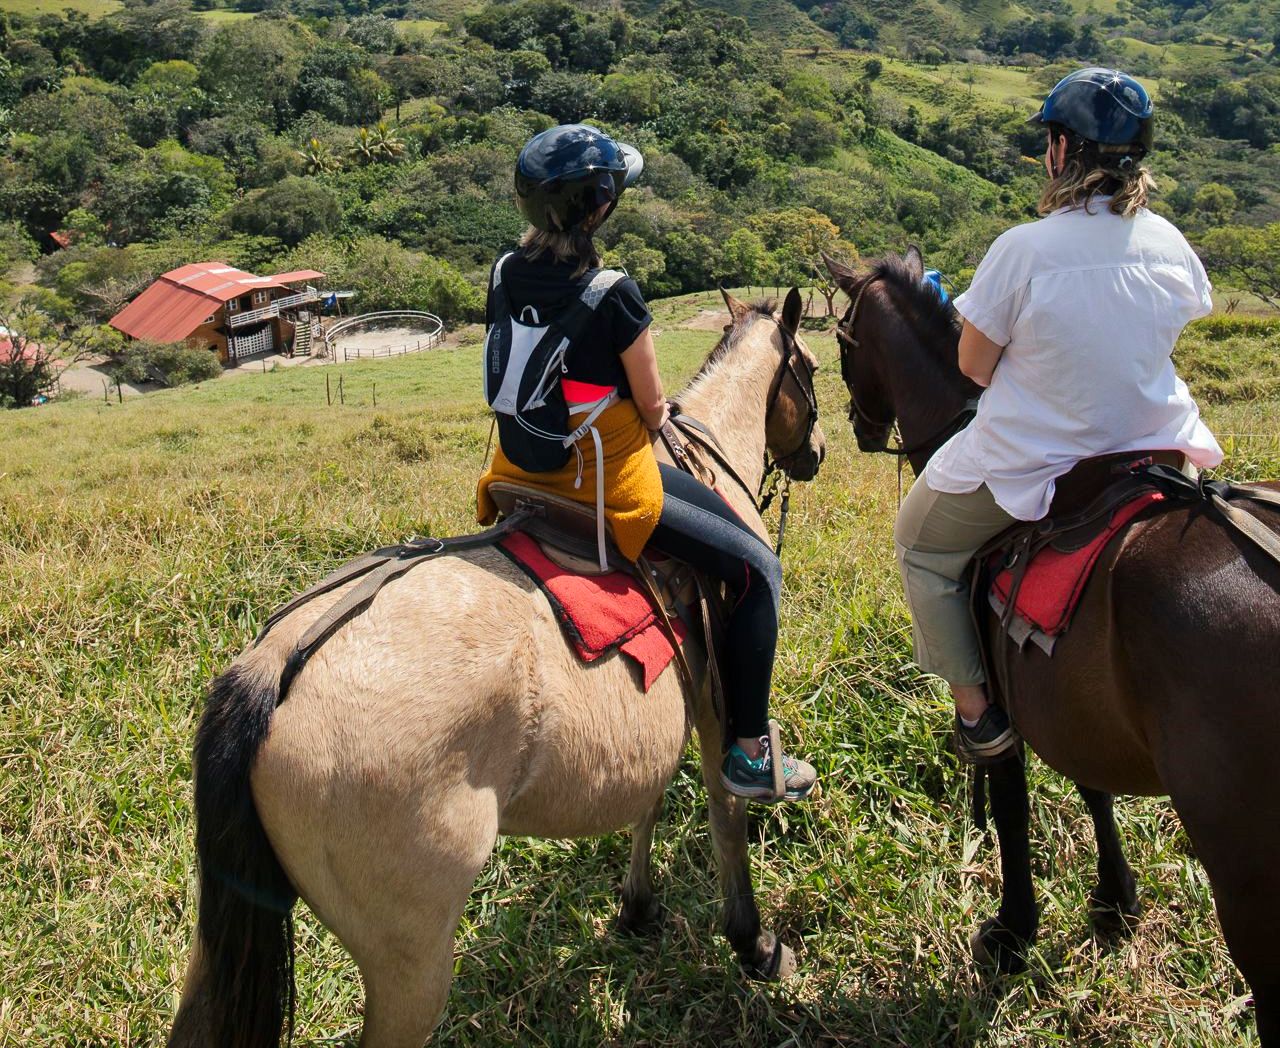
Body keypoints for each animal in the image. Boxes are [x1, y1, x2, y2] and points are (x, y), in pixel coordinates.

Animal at [167, 289, 829, 1048]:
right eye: (813, 369)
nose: (817, 453)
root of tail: (276, 666)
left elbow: (649, 797)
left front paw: (637, 908)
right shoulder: (721, 695)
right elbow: (726, 811)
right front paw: (753, 942)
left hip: (224, 940)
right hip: (412, 964)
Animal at [819, 249, 1280, 1044]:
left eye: (843, 344)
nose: (862, 428)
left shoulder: (999, 694)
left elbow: (1008, 800)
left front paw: (1012, 931)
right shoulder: (1069, 695)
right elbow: (1094, 785)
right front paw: (1114, 902)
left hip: (1246, 868)